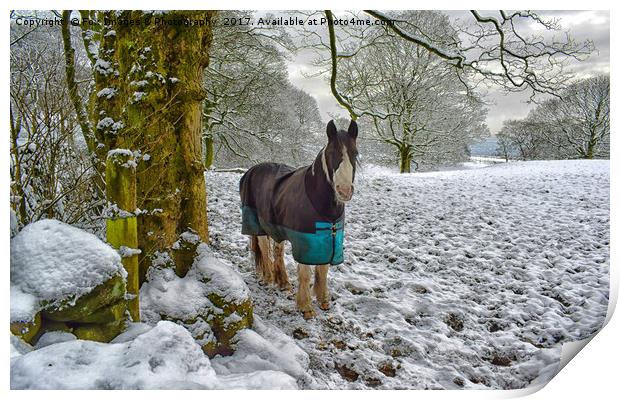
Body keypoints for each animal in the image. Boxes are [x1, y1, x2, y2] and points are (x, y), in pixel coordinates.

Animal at [241, 119, 360, 318]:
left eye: (355, 153)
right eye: (331, 153)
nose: (344, 191)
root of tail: (252, 169)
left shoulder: (326, 239)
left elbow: (323, 269)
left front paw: (323, 300)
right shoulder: (305, 241)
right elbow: (305, 273)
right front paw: (305, 307)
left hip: (276, 227)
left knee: (278, 251)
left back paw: (283, 283)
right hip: (258, 225)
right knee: (264, 249)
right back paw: (268, 277)